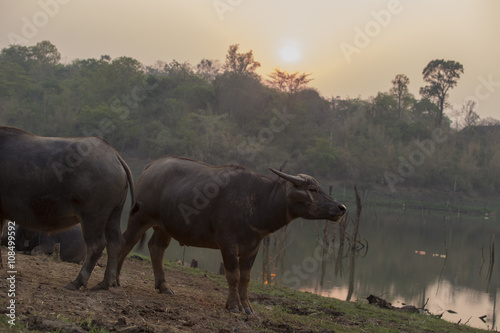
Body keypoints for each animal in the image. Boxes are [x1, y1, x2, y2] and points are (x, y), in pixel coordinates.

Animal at [0, 126, 135, 290]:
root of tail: (114, 155)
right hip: (114, 214)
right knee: (115, 242)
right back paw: (105, 283)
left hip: (93, 216)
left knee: (96, 245)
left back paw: (77, 282)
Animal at [117, 154, 346, 312]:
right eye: (313, 189)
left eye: (320, 187)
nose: (341, 207)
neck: (260, 201)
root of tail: (151, 167)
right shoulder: (227, 243)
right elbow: (233, 276)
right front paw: (234, 306)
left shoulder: (254, 246)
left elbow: (245, 278)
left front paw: (248, 307)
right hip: (139, 218)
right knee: (126, 242)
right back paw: (116, 279)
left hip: (165, 227)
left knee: (156, 248)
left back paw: (164, 286)